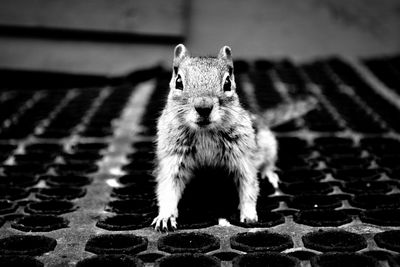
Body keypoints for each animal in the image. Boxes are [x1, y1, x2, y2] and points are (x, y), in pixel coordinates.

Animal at [150, 44, 316, 232]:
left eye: (228, 83)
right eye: (178, 81)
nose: (203, 107)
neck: (205, 133)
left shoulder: (242, 157)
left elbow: (249, 186)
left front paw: (249, 215)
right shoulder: (172, 159)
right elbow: (167, 188)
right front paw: (165, 216)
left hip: (268, 144)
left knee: (268, 162)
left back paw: (269, 173)